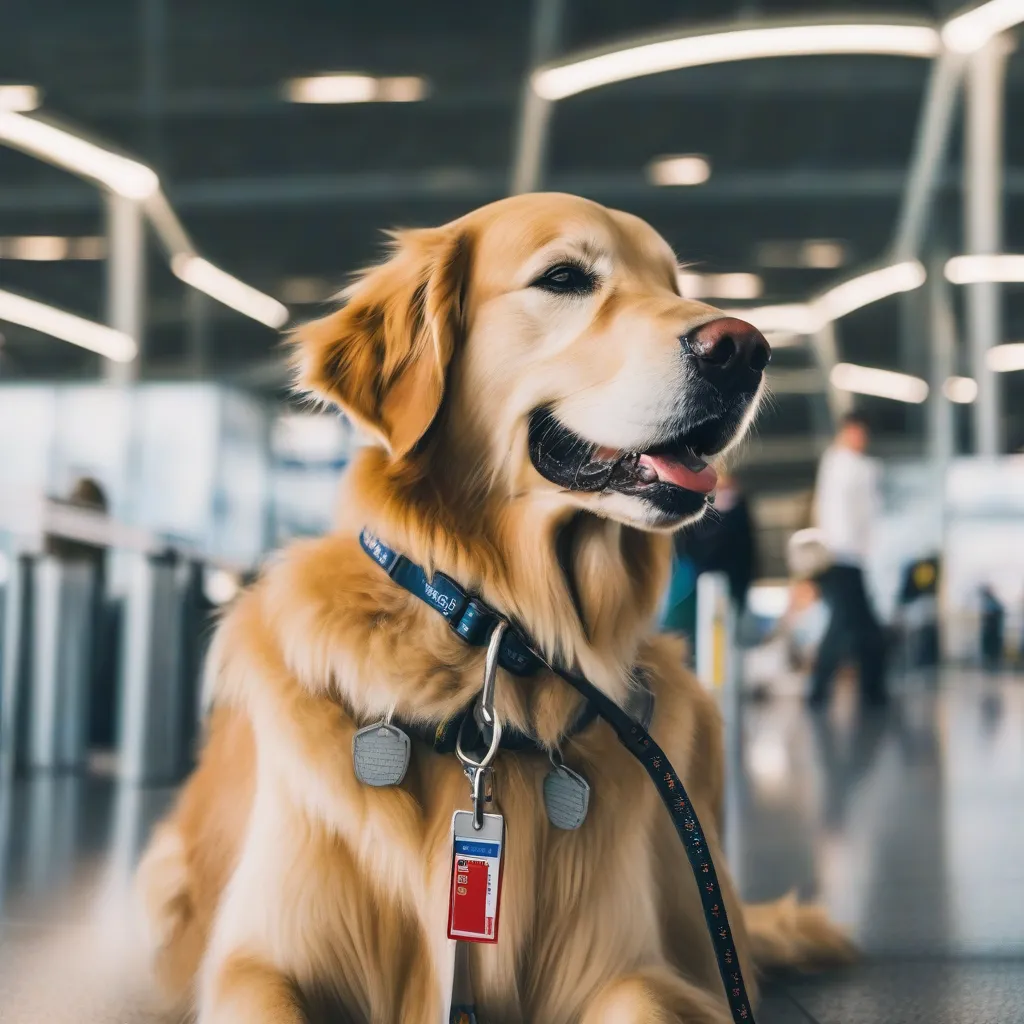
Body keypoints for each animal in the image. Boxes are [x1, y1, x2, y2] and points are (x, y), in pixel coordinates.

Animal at [138, 193, 856, 1024]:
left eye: (673, 283)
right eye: (565, 278)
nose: (743, 348)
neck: (495, 636)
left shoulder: (636, 968)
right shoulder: (258, 961)